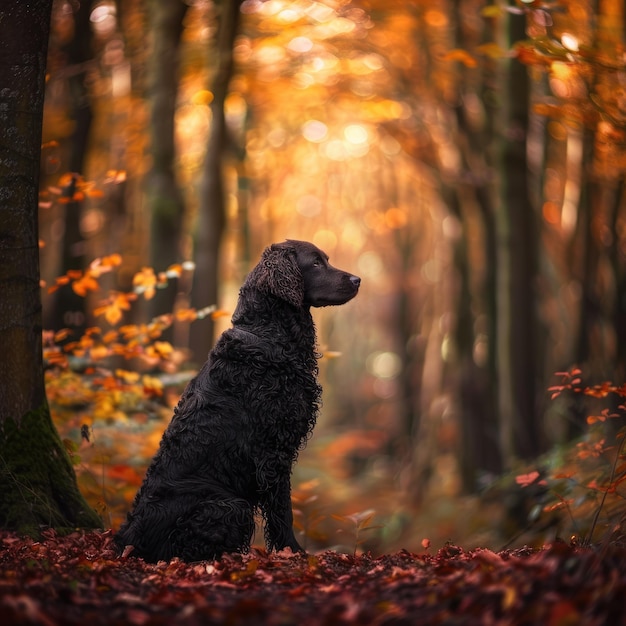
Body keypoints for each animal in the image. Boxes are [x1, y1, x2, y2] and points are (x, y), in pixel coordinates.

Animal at [114, 239, 358, 560]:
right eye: (316, 263)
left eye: (326, 260)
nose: (357, 280)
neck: (268, 334)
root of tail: (129, 537)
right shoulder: (272, 450)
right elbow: (282, 511)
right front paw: (292, 552)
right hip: (230, 506)